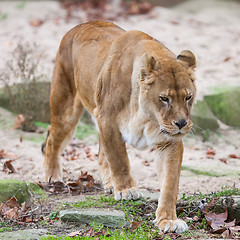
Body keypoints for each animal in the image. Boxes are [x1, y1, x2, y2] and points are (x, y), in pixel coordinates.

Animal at [42, 21, 197, 232]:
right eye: (164, 98)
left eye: (188, 97)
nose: (181, 123)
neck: (147, 116)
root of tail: (80, 25)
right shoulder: (108, 121)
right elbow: (119, 159)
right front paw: (126, 190)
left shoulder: (169, 140)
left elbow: (170, 183)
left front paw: (169, 219)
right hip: (65, 109)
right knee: (52, 139)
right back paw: (53, 177)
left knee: (100, 153)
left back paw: (108, 183)